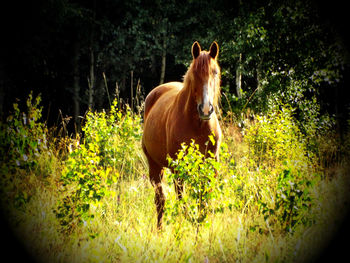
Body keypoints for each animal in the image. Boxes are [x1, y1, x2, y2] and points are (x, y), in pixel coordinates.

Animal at [142, 41, 221, 229]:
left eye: (215, 72)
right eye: (195, 74)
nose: (205, 109)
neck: (198, 126)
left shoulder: (210, 166)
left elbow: (203, 201)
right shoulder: (179, 168)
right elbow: (182, 202)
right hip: (155, 166)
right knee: (160, 200)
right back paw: (160, 229)